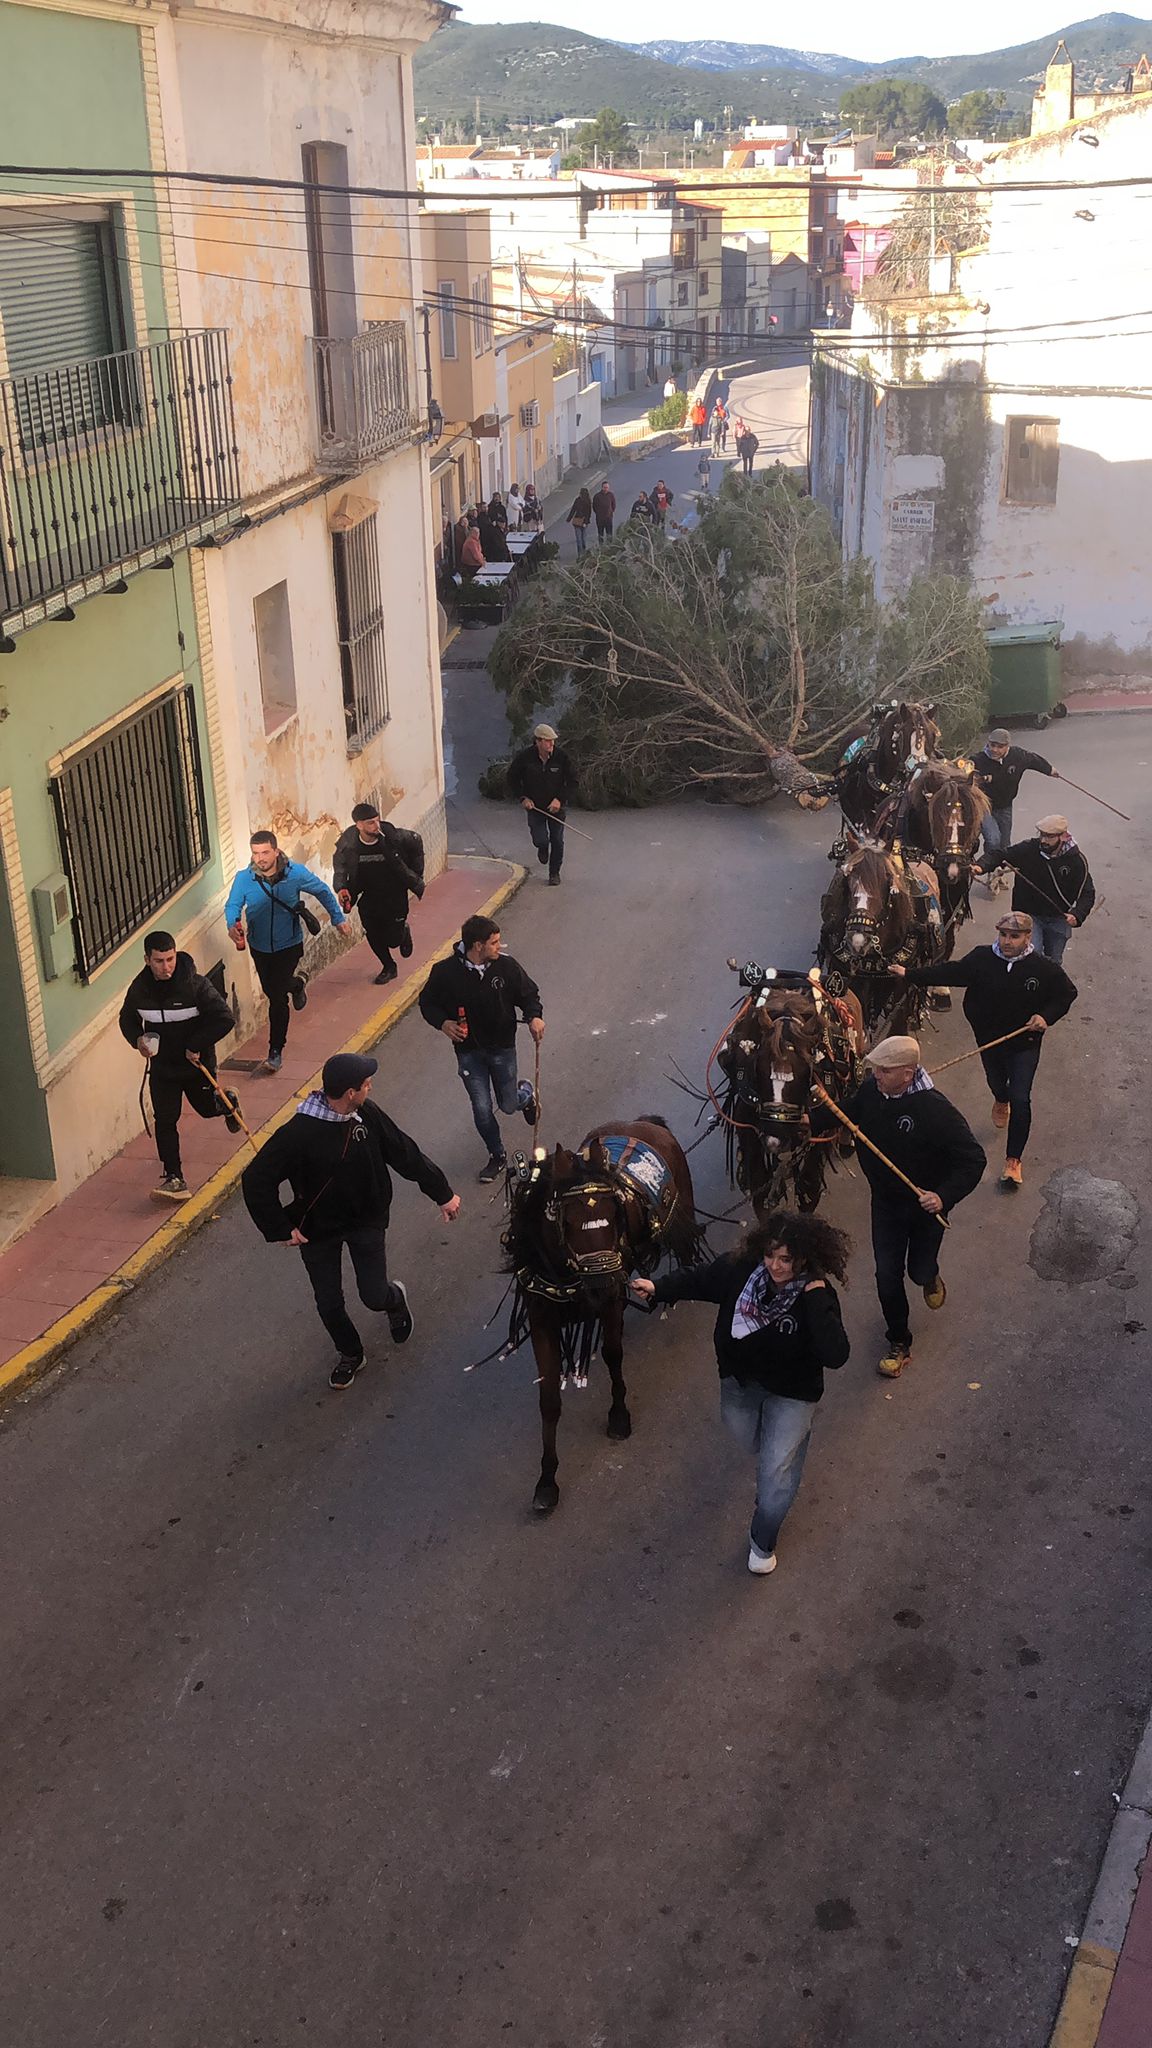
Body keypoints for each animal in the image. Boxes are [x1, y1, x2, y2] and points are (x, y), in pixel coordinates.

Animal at [500, 1116, 705, 1516]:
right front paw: (547, 1480)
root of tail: (644, 1122)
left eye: (613, 1214)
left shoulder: (610, 1300)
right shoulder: (542, 1320)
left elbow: (612, 1353)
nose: (604, 1282)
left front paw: (619, 1415)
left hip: (683, 1211)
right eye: (567, 1222)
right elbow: (549, 1397)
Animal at [714, 972, 865, 1217]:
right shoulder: (747, 1123)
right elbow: (759, 1189)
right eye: (758, 1067)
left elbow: (809, 1189)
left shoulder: (819, 1129)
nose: (777, 1135)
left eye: (806, 1071)